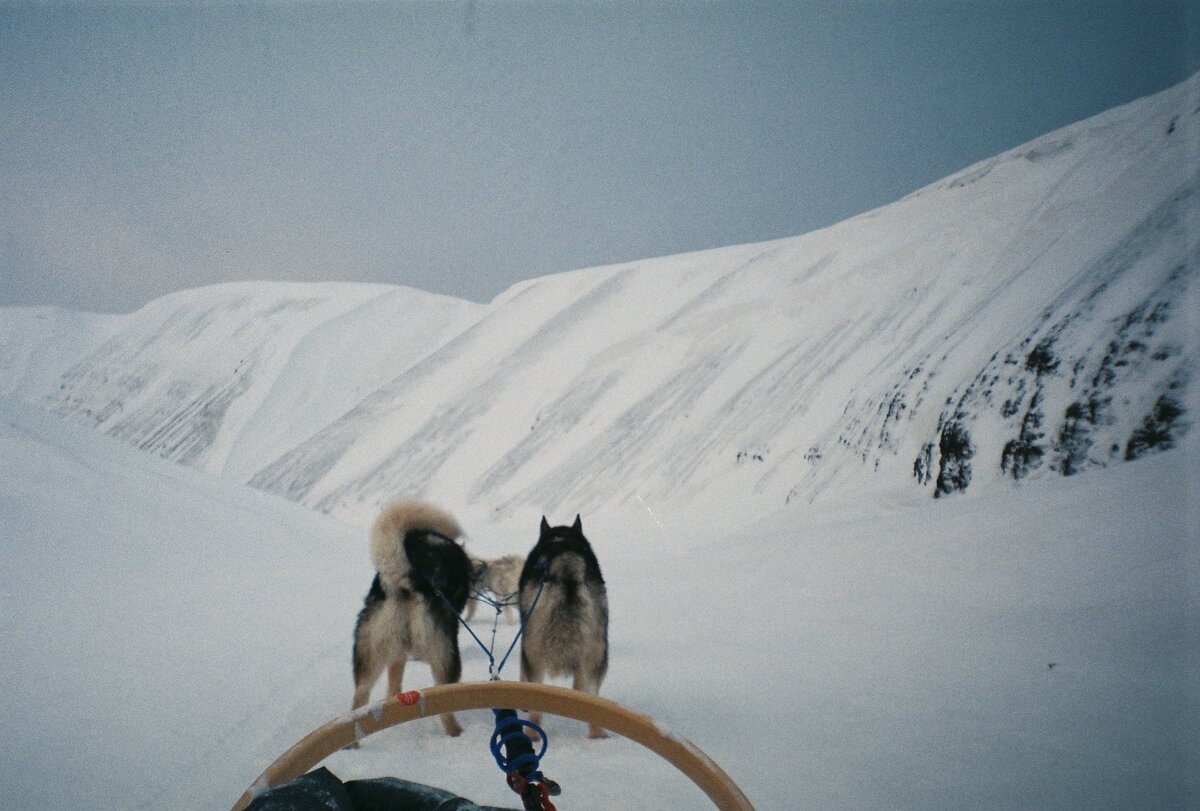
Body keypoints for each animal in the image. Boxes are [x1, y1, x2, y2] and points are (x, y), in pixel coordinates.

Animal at [350, 496, 468, 739]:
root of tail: (406, 579)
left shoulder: (398, 653)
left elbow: (394, 685)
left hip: (371, 652)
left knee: (360, 697)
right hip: (446, 658)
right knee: (445, 708)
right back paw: (456, 733)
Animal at [518, 515, 609, 739]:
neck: (560, 539)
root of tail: (567, 566)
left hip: (533, 650)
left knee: (535, 708)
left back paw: (531, 734)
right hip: (596, 652)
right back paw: (597, 736)